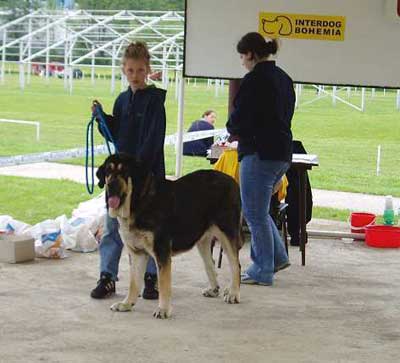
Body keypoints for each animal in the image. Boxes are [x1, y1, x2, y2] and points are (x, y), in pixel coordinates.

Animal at [96, 153, 244, 318]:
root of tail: (232, 181)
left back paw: (233, 293)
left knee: (236, 265)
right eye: (108, 172)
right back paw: (213, 289)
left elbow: (163, 283)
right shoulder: (137, 253)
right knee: (210, 263)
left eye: (124, 172)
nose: (110, 186)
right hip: (203, 240)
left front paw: (163, 309)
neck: (139, 201)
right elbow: (133, 282)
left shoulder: (162, 252)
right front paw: (127, 304)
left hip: (227, 233)